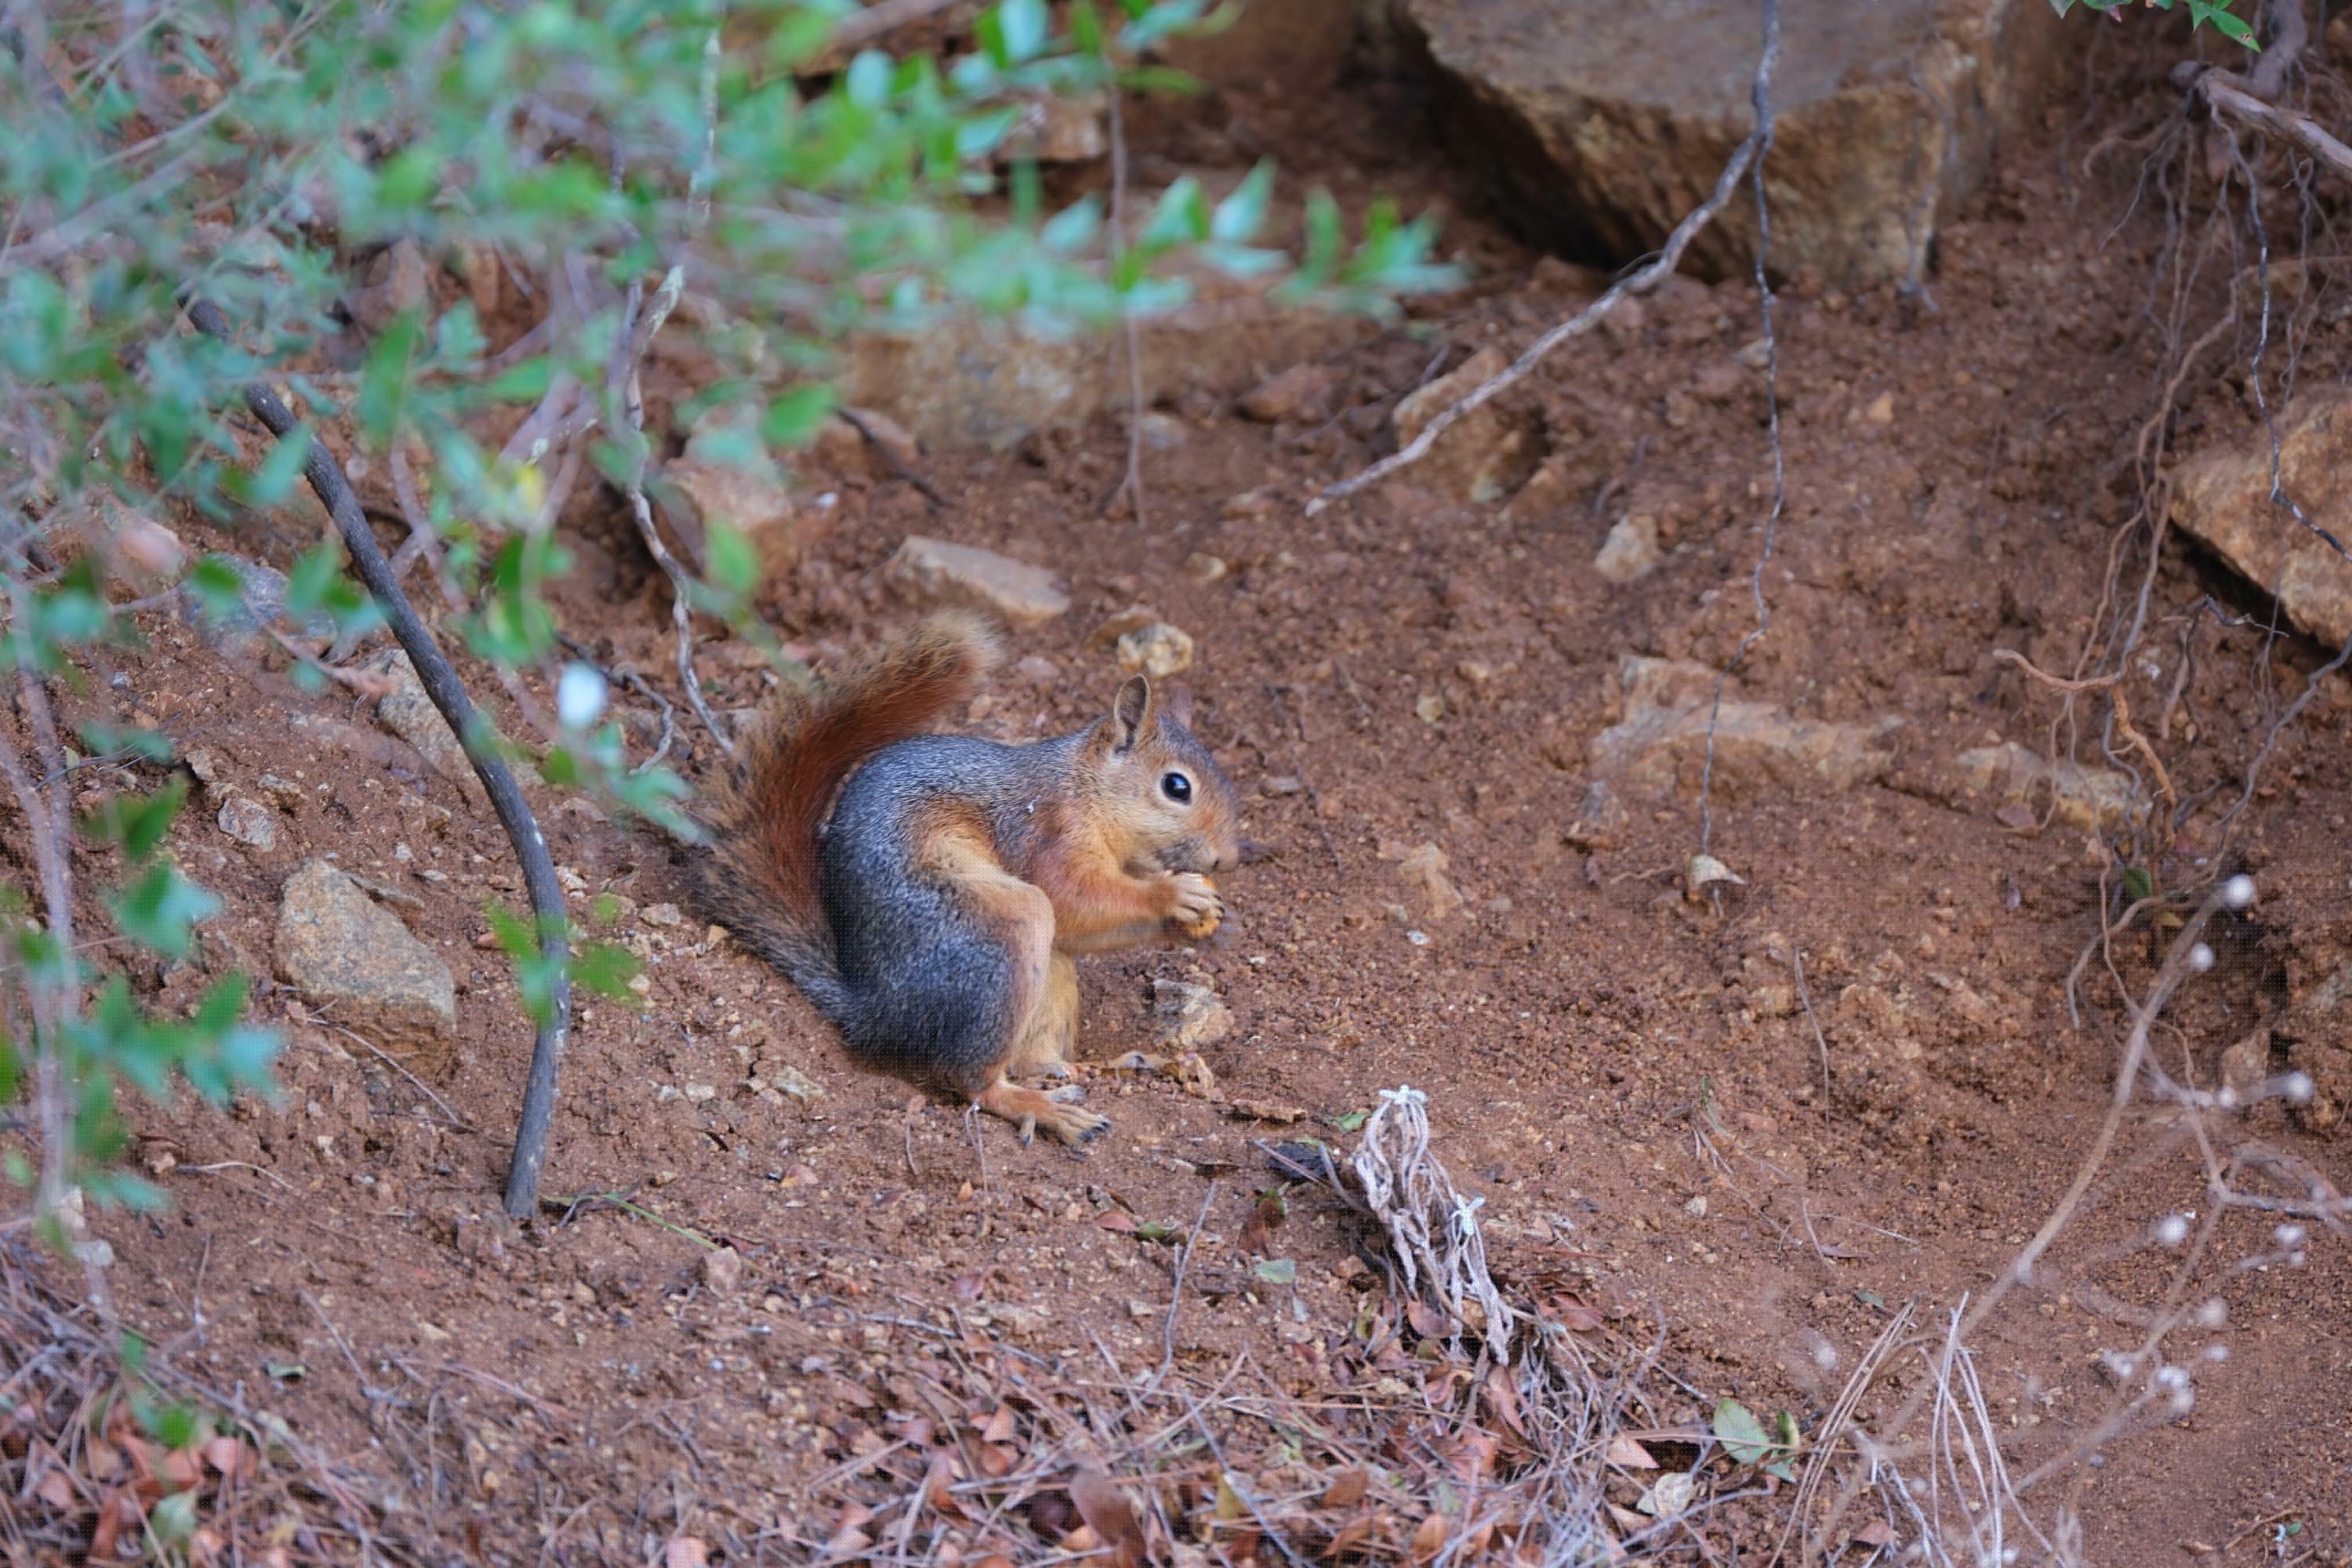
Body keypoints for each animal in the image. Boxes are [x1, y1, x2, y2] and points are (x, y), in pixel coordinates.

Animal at [687, 620, 1251, 1147]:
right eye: (1176, 786)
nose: (1227, 858)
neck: (1086, 789)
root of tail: (878, 1012)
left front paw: (1210, 923)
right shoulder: (1047, 833)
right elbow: (1072, 901)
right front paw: (1174, 894)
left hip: (1047, 973)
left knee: (1032, 1054)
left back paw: (1093, 1068)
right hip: (1004, 931)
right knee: (974, 1080)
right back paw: (1039, 1108)